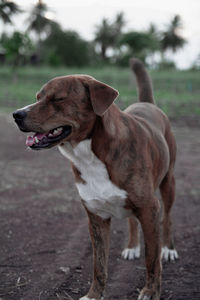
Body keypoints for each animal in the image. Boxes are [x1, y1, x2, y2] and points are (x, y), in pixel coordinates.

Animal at [12, 58, 178, 300]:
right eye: (37, 97)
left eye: (57, 99)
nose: (16, 114)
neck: (90, 154)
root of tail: (147, 104)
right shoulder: (96, 217)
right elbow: (98, 265)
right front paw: (93, 295)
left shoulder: (149, 209)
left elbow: (152, 261)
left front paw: (150, 291)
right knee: (132, 220)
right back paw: (132, 246)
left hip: (168, 183)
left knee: (168, 218)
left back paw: (168, 248)